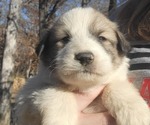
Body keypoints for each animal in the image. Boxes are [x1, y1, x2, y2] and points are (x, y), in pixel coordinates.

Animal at [15, 7, 150, 124]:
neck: (85, 87)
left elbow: (117, 87)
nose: (85, 57)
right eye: (65, 39)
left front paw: (138, 116)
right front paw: (60, 120)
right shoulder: (26, 97)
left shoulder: (116, 80)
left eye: (101, 38)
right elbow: (56, 91)